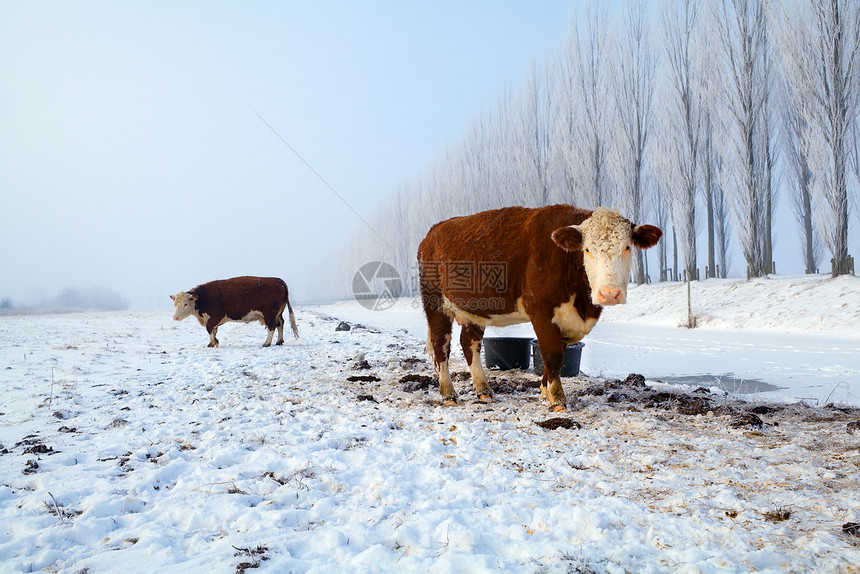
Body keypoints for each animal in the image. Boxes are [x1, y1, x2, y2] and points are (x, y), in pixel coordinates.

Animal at [170, 276, 298, 348]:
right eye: (175, 303)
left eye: (185, 304)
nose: (175, 317)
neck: (203, 298)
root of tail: (279, 281)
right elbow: (213, 330)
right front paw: (212, 343)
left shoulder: (216, 316)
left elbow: (209, 328)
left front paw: (215, 342)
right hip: (278, 313)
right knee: (280, 324)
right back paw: (279, 341)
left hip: (269, 314)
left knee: (272, 327)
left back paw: (266, 343)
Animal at [420, 205, 660, 412]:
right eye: (587, 249)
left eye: (627, 247)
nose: (609, 293)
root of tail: (432, 232)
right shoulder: (541, 311)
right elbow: (552, 355)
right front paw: (557, 400)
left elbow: (558, 355)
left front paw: (545, 393)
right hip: (435, 303)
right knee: (441, 346)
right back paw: (448, 394)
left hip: (475, 310)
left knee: (470, 344)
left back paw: (484, 390)